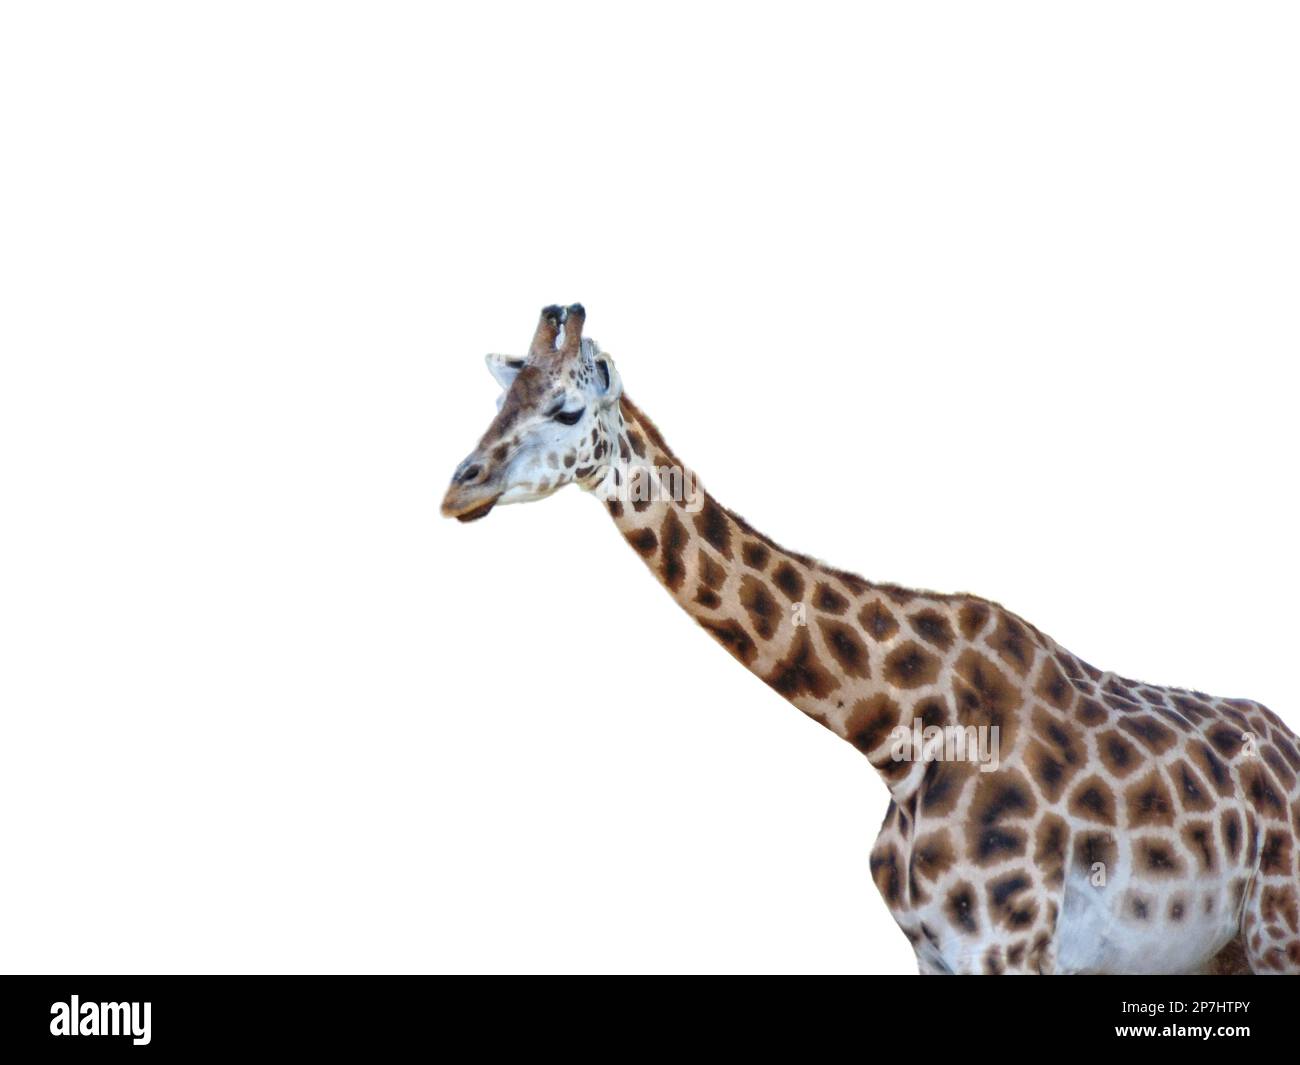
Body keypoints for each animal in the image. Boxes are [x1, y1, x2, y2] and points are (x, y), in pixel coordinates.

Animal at [441, 304, 1300, 975]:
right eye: (503, 398)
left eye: (566, 411)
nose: (460, 488)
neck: (896, 730)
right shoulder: (933, 951)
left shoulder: (1013, 945)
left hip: (1277, 929)